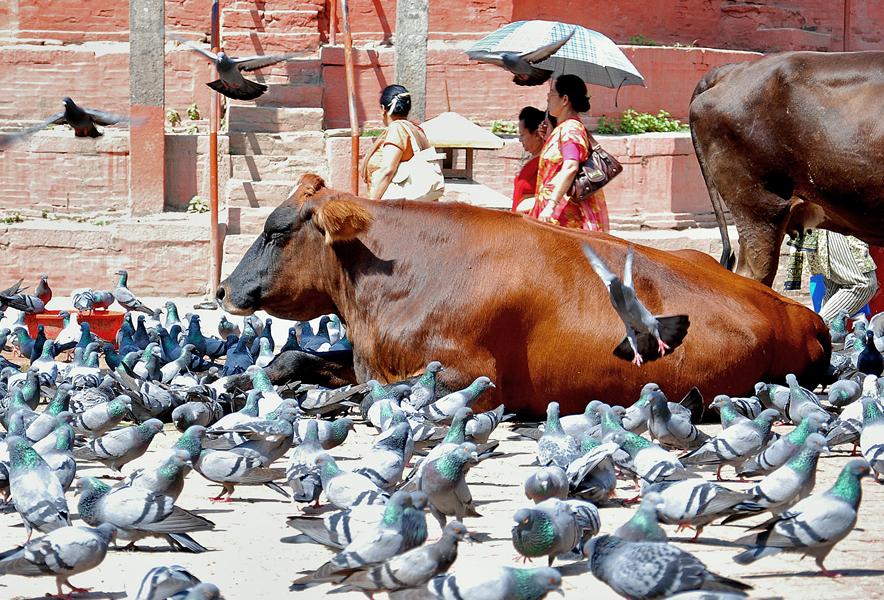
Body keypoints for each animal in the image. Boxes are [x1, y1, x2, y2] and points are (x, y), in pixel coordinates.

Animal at [216, 174, 830, 418]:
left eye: (275, 231)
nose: (222, 289)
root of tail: (798, 312)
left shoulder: (472, 378)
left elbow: (374, 395)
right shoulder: (372, 358)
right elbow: (296, 356)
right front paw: (241, 384)